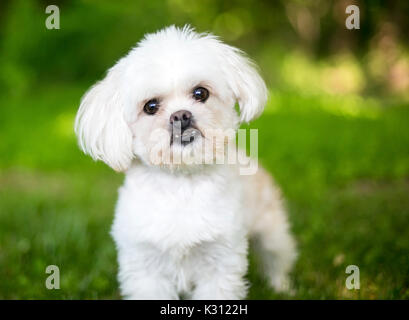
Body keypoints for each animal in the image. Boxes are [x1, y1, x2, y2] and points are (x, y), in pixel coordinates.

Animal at [75, 25, 294, 300]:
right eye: (150, 106)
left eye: (200, 93)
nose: (181, 115)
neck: (181, 183)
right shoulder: (145, 267)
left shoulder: (221, 262)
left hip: (271, 233)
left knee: (277, 259)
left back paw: (281, 287)